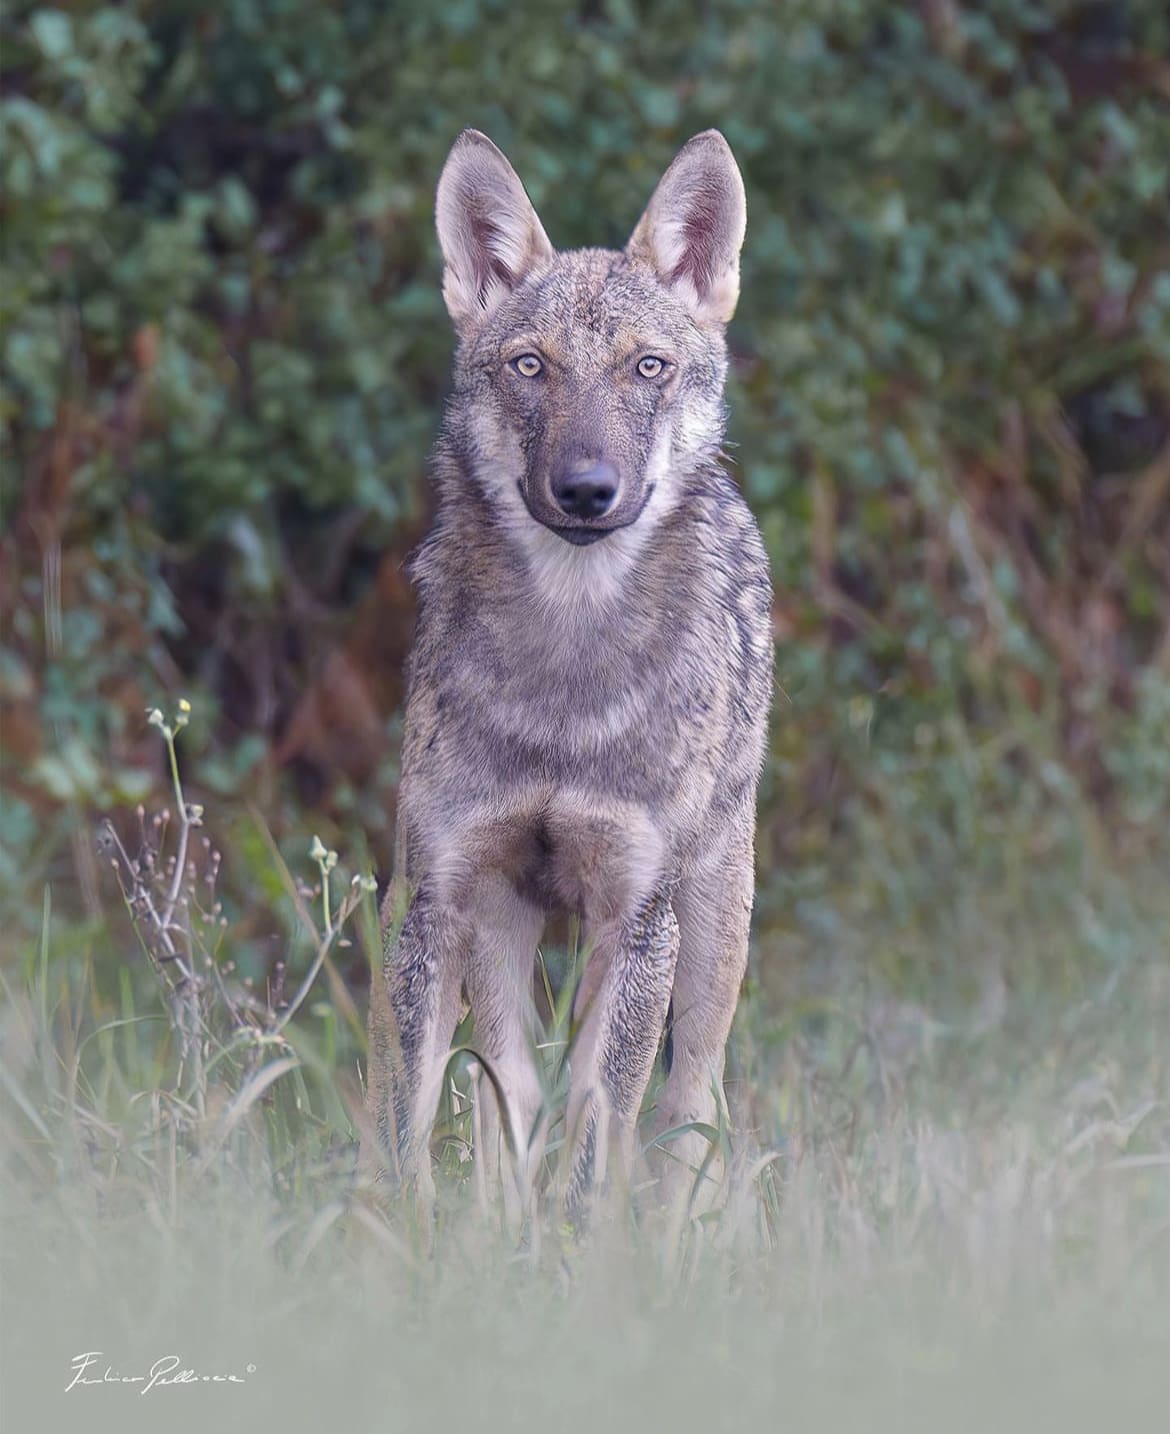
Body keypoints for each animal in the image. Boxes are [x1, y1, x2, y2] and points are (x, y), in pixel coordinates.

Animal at [361, 126, 774, 1221]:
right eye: (531, 366)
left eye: (648, 366)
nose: (587, 489)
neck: (566, 669)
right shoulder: (441, 898)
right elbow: (408, 1130)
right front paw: (401, 1248)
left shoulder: (635, 920)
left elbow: (595, 1143)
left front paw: (581, 1256)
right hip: (478, 929)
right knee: (501, 1096)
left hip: (701, 953)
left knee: (681, 1118)